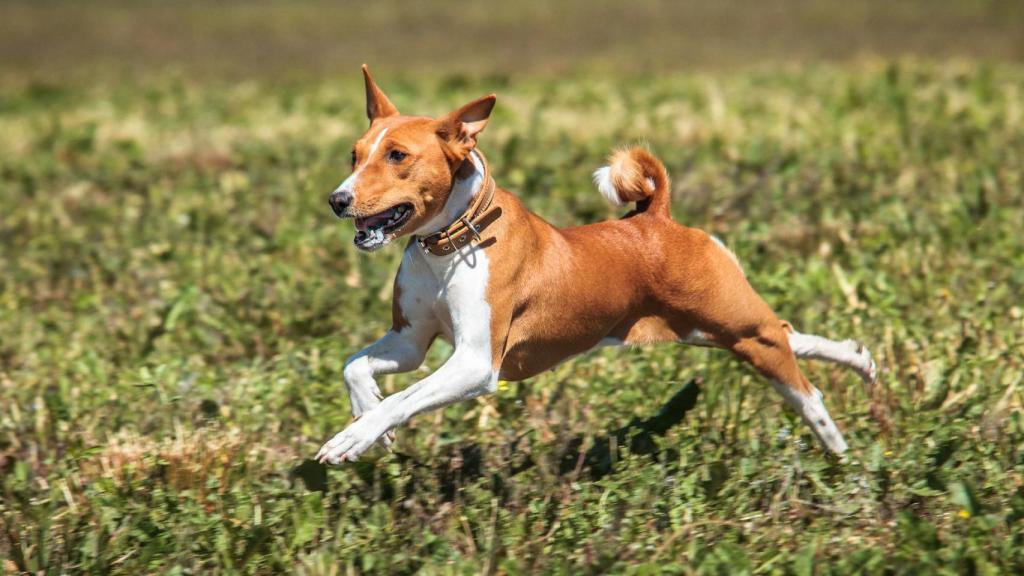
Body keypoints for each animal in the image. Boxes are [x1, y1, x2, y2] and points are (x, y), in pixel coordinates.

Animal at [315, 66, 876, 461]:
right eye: (354, 155)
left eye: (397, 156)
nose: (337, 200)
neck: (448, 247)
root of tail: (657, 216)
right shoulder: (411, 341)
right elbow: (355, 368)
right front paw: (370, 424)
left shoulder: (475, 362)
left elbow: (401, 399)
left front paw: (355, 437)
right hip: (712, 329)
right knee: (790, 335)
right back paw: (858, 358)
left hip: (736, 327)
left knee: (803, 385)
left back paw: (836, 446)